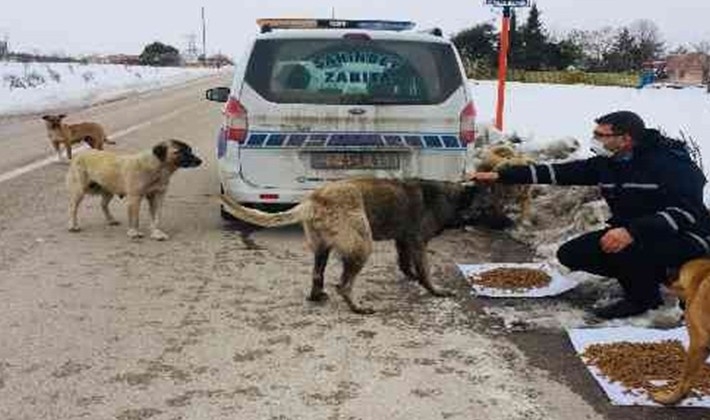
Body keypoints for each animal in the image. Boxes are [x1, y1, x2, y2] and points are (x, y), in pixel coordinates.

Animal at [65, 140, 203, 241]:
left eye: (189, 150)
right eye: (179, 151)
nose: (200, 161)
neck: (157, 167)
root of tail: (79, 154)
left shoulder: (157, 197)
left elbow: (156, 217)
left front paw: (156, 232)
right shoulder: (135, 198)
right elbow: (135, 218)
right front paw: (134, 232)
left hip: (108, 190)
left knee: (103, 204)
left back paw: (111, 220)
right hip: (79, 190)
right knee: (72, 207)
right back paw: (73, 226)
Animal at [222, 178, 512, 316]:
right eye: (490, 208)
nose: (510, 223)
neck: (455, 198)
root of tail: (313, 200)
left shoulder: (404, 240)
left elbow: (406, 264)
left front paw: (412, 277)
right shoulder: (418, 242)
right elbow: (425, 272)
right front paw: (433, 290)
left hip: (322, 249)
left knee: (317, 275)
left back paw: (317, 296)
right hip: (362, 246)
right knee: (343, 284)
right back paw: (357, 307)